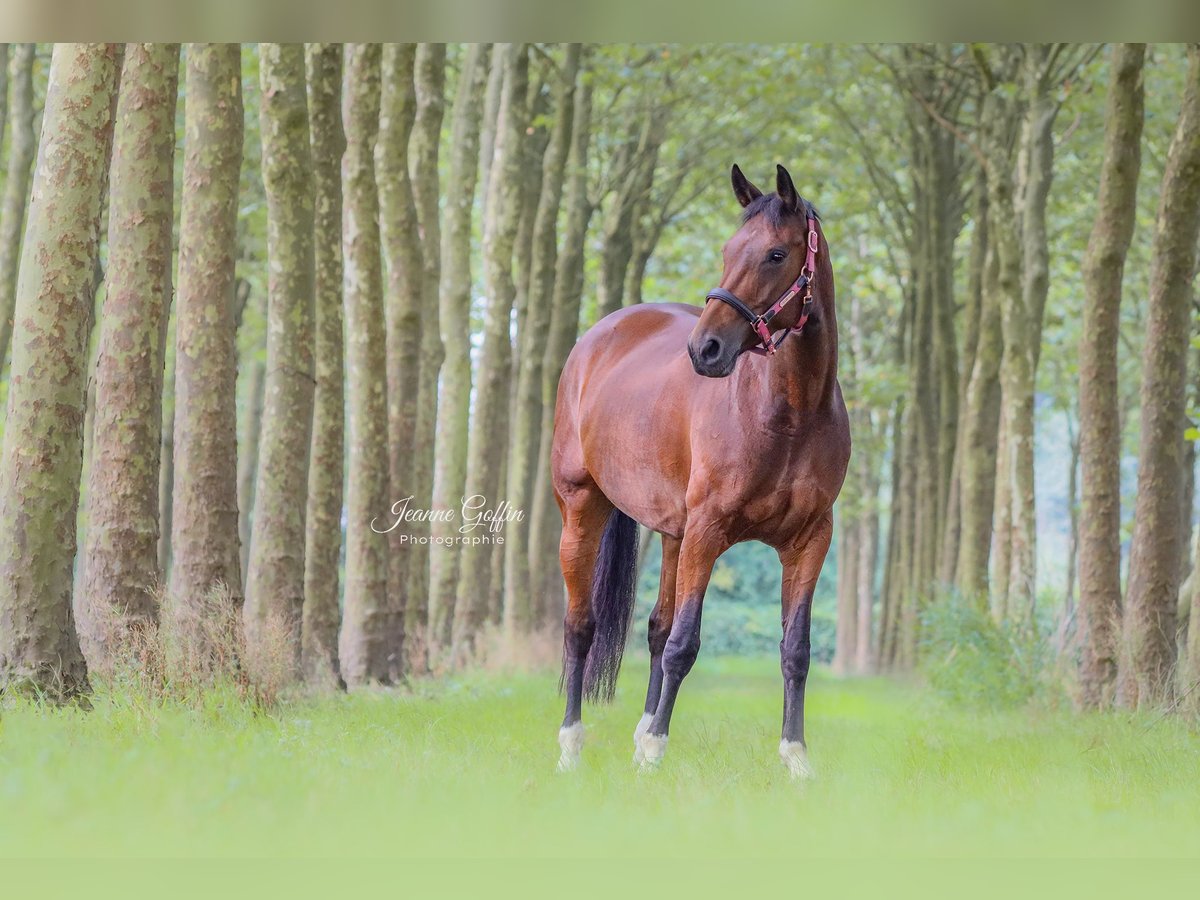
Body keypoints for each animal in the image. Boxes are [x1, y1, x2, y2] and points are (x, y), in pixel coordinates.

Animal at [549, 165, 849, 777]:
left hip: (673, 535)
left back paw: (638, 731)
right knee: (581, 626)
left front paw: (796, 758)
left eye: (776, 254)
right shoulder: (709, 532)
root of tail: (600, 335)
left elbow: (795, 650)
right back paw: (571, 745)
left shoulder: (810, 541)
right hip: (583, 509)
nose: (705, 349)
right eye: (728, 250)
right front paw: (657, 751)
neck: (788, 414)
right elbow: (686, 644)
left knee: (655, 629)